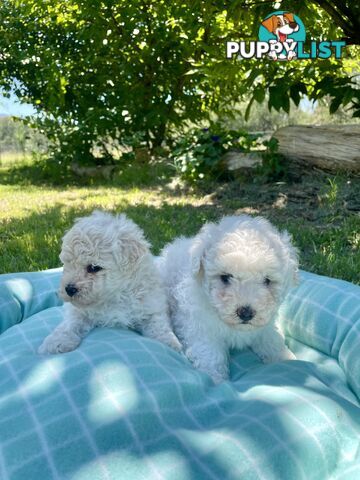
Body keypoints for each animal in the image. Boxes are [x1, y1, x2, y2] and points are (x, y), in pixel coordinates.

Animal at [38, 212, 181, 354]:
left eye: (94, 268)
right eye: (67, 264)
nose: (69, 289)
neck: (114, 297)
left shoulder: (151, 307)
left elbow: (159, 326)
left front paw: (170, 343)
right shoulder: (79, 311)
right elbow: (69, 324)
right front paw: (56, 342)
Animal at [158, 216, 298, 384]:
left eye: (267, 280)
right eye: (225, 277)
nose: (246, 313)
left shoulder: (266, 326)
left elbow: (272, 342)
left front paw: (288, 359)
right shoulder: (201, 329)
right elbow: (210, 355)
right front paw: (216, 380)